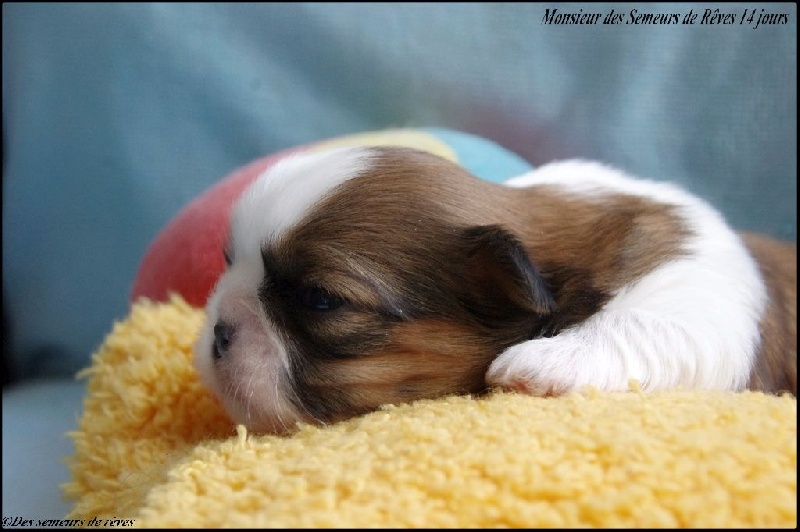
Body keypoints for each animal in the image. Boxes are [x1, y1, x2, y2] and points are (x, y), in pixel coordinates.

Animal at [195, 146, 796, 434]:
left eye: (320, 301)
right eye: (225, 261)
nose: (218, 333)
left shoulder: (699, 295)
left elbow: (651, 324)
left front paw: (549, 361)